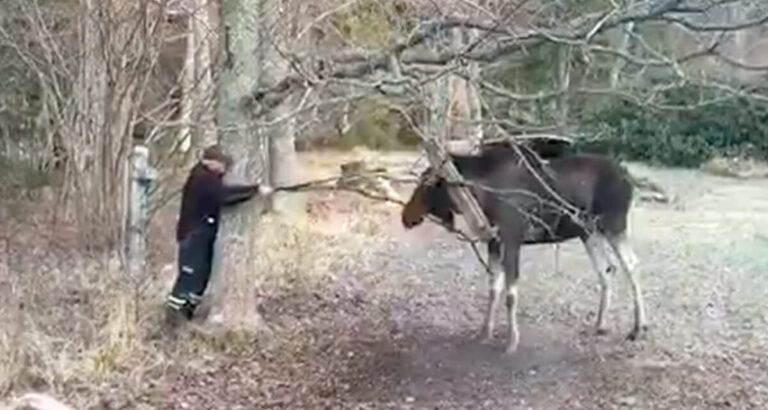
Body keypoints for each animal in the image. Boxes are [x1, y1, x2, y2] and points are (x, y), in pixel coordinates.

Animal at [402, 140, 648, 352]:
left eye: (427, 184)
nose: (406, 216)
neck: (480, 195)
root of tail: (629, 178)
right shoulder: (494, 242)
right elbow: (493, 289)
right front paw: (484, 332)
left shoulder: (512, 239)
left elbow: (511, 294)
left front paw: (512, 341)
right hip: (588, 233)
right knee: (607, 269)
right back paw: (600, 324)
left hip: (613, 224)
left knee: (631, 264)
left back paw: (638, 328)